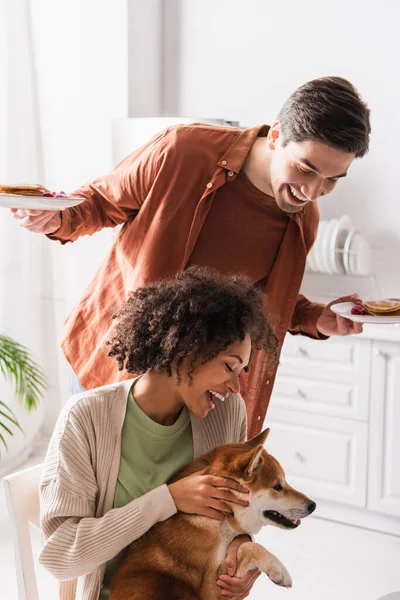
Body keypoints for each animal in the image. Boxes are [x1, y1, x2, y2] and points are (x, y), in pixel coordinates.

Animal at [108, 428, 316, 596]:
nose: (313, 505)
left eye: (284, 482)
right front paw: (278, 569)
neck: (222, 518)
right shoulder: (212, 589)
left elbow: (243, 545)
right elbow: (247, 546)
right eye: (278, 486)